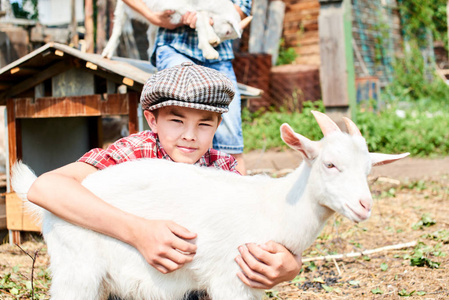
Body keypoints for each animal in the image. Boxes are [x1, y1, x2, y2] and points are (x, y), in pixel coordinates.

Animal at [13, 112, 406, 300]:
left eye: (368, 170)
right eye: (330, 164)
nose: (364, 206)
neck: (275, 206)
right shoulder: (230, 280)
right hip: (75, 271)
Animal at [100, 0, 252, 60]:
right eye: (227, 32)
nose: (218, 43)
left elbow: (201, 18)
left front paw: (211, 39)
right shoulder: (174, 7)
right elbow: (200, 20)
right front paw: (209, 51)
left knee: (151, 34)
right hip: (124, 6)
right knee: (118, 26)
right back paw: (107, 52)